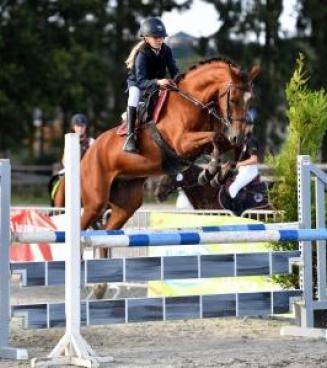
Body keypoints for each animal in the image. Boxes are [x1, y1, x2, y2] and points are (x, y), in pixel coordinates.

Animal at [80, 58, 260, 258]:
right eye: (233, 99)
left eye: (251, 100)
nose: (239, 135)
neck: (193, 102)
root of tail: (89, 152)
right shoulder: (182, 143)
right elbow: (216, 138)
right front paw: (210, 171)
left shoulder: (205, 144)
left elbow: (231, 145)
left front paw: (220, 174)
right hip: (96, 201)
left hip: (126, 204)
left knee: (106, 236)